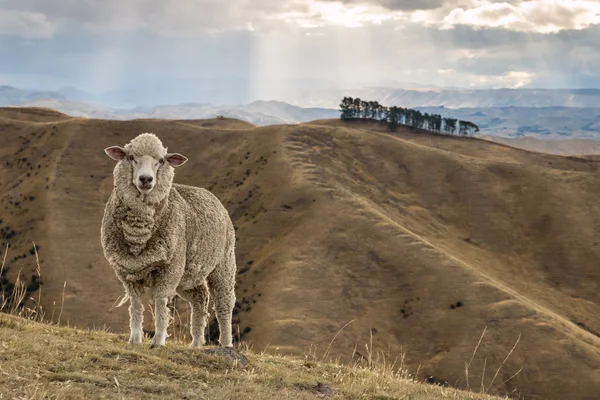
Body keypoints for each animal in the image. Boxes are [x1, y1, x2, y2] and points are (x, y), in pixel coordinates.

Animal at [101, 133, 237, 348]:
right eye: (131, 157)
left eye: (161, 160)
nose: (146, 179)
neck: (138, 232)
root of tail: (211, 195)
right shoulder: (127, 271)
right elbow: (136, 304)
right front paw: (135, 339)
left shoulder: (169, 270)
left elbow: (159, 301)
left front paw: (158, 340)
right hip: (188, 274)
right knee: (200, 298)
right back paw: (196, 344)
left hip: (223, 263)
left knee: (224, 304)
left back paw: (226, 344)